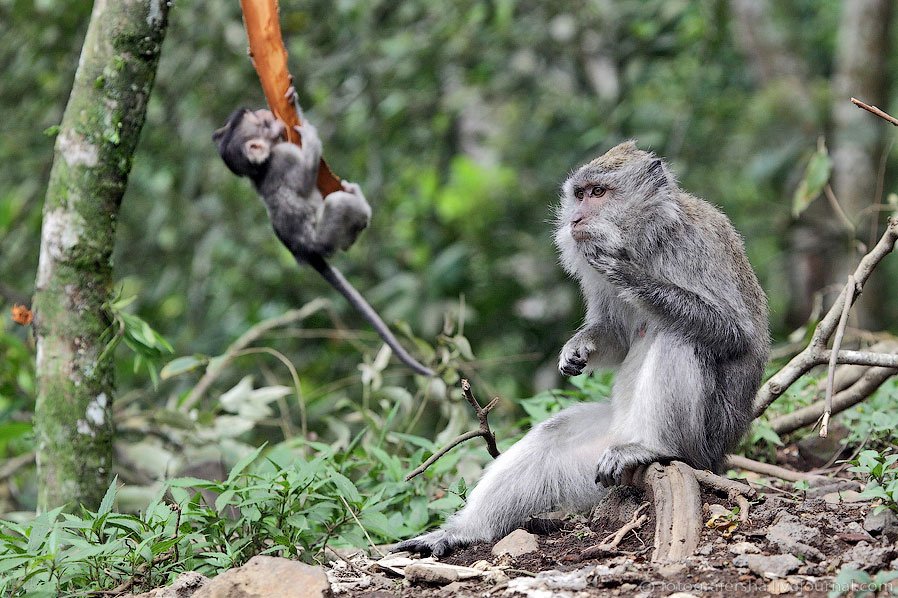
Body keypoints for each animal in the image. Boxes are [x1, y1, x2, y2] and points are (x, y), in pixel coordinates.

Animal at [212, 95, 432, 376]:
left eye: (257, 114)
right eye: (260, 121)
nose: (265, 111)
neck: (260, 168)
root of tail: (307, 253)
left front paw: (295, 105)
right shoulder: (284, 158)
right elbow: (304, 181)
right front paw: (310, 136)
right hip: (325, 237)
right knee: (338, 205)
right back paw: (357, 216)